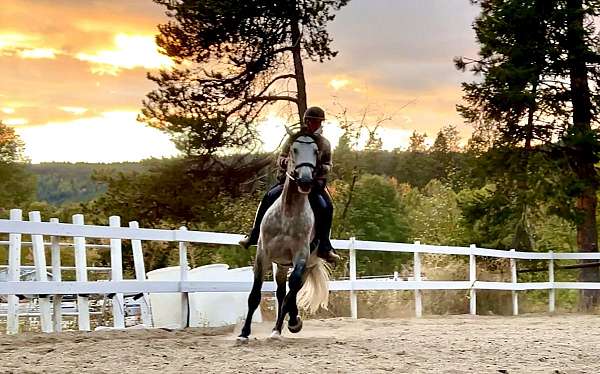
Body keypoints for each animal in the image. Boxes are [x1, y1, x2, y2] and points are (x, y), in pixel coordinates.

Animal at [238, 133, 332, 344]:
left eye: (316, 152)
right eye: (293, 149)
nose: (305, 180)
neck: (288, 213)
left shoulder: (301, 257)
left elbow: (292, 292)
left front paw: (290, 324)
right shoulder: (262, 255)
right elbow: (255, 296)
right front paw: (244, 333)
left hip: (307, 265)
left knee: (292, 289)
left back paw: (287, 324)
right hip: (279, 264)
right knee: (282, 291)